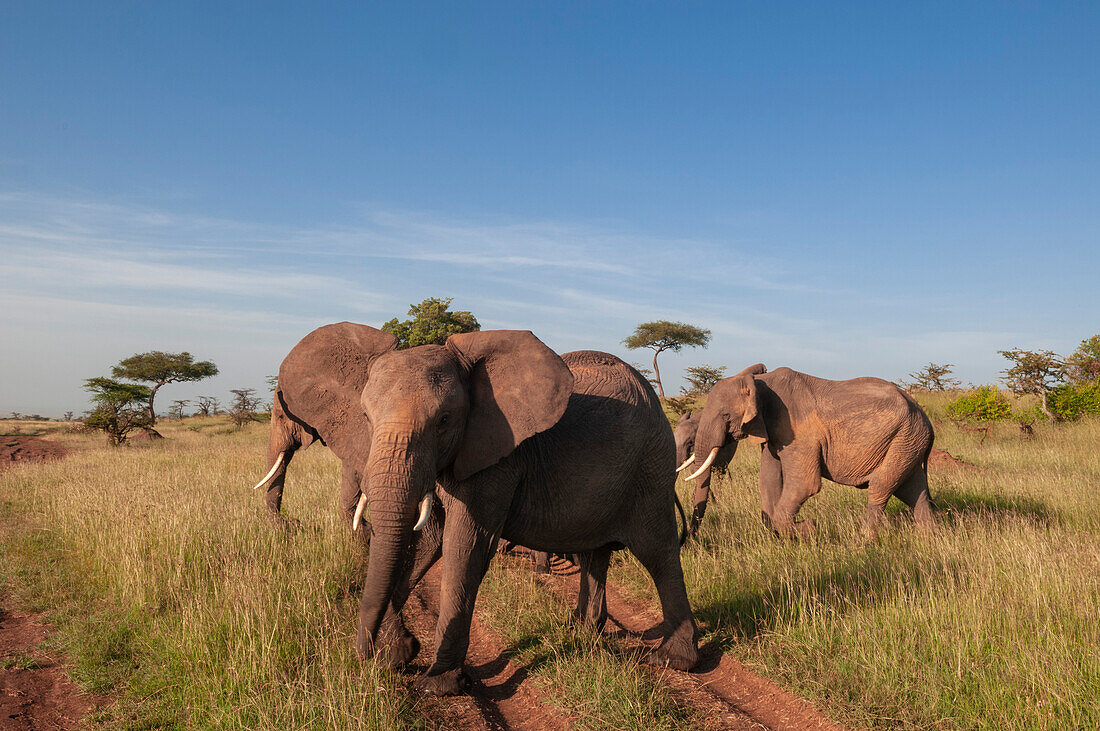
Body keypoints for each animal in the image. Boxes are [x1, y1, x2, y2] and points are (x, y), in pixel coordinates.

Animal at [686, 362, 937, 536]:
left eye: (725, 416)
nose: (691, 538)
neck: (760, 381)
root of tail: (925, 417)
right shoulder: (773, 431)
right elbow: (768, 480)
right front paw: (785, 534)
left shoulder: (798, 431)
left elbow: (804, 484)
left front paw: (807, 529)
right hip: (908, 442)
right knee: (913, 491)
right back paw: (928, 537)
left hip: (905, 438)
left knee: (880, 486)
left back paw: (865, 540)